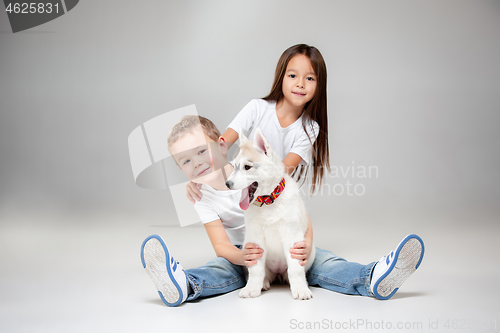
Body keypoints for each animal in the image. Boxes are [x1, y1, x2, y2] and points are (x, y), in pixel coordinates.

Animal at [227, 128, 316, 300]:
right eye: (234, 166)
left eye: (247, 167)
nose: (227, 184)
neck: (269, 202)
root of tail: (278, 273)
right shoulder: (255, 240)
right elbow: (256, 270)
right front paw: (252, 288)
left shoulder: (292, 236)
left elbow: (295, 269)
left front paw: (300, 289)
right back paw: (264, 283)